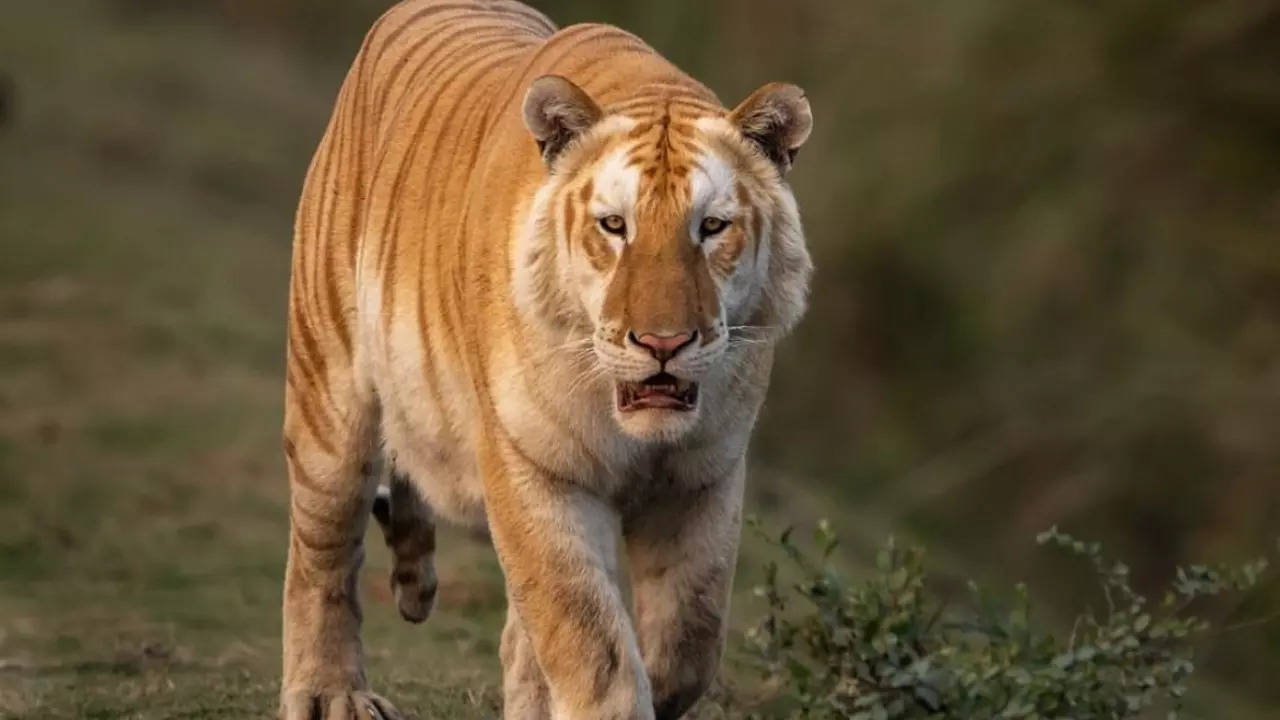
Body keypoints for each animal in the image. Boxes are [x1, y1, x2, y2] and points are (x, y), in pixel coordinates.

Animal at [282, 1, 808, 712]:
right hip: (329, 397)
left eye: (711, 227)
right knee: (323, 554)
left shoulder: (705, 477)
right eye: (614, 226)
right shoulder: (533, 466)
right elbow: (591, 642)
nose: (663, 343)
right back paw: (330, 695)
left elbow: (686, 643)